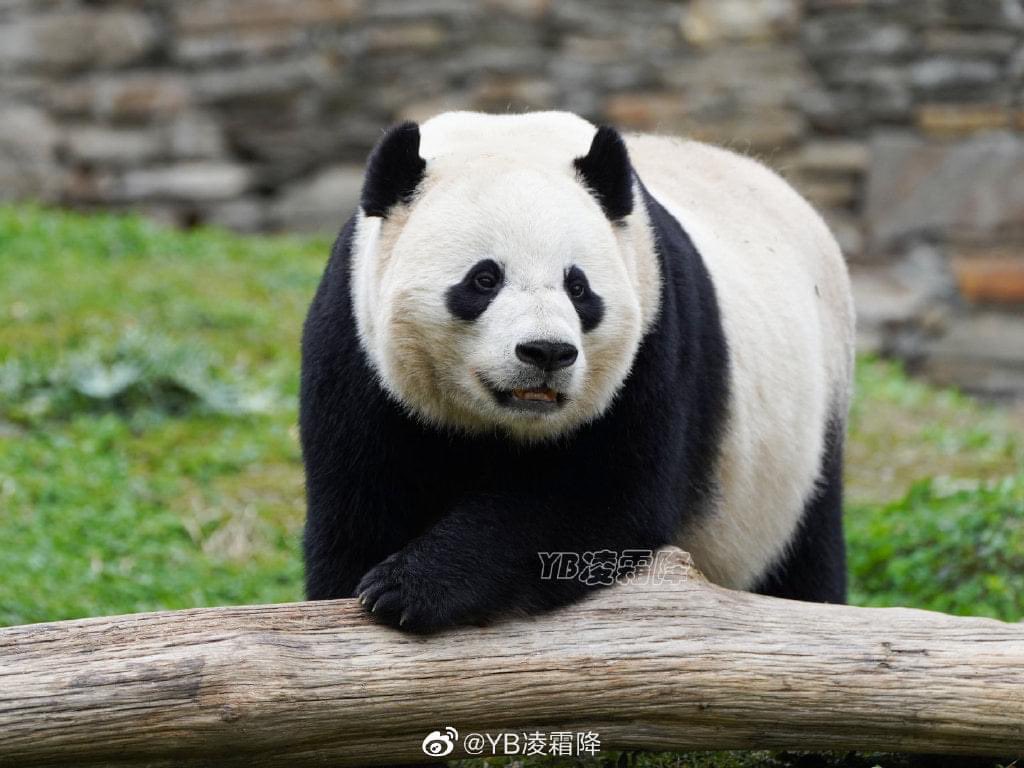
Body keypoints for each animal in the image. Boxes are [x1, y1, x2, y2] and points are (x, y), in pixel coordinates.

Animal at [300, 111, 855, 633]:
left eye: (579, 287)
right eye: (484, 279)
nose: (546, 352)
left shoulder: (655, 341)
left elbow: (592, 499)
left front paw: (408, 587)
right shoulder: (356, 344)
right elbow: (359, 507)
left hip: (804, 442)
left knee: (806, 558)